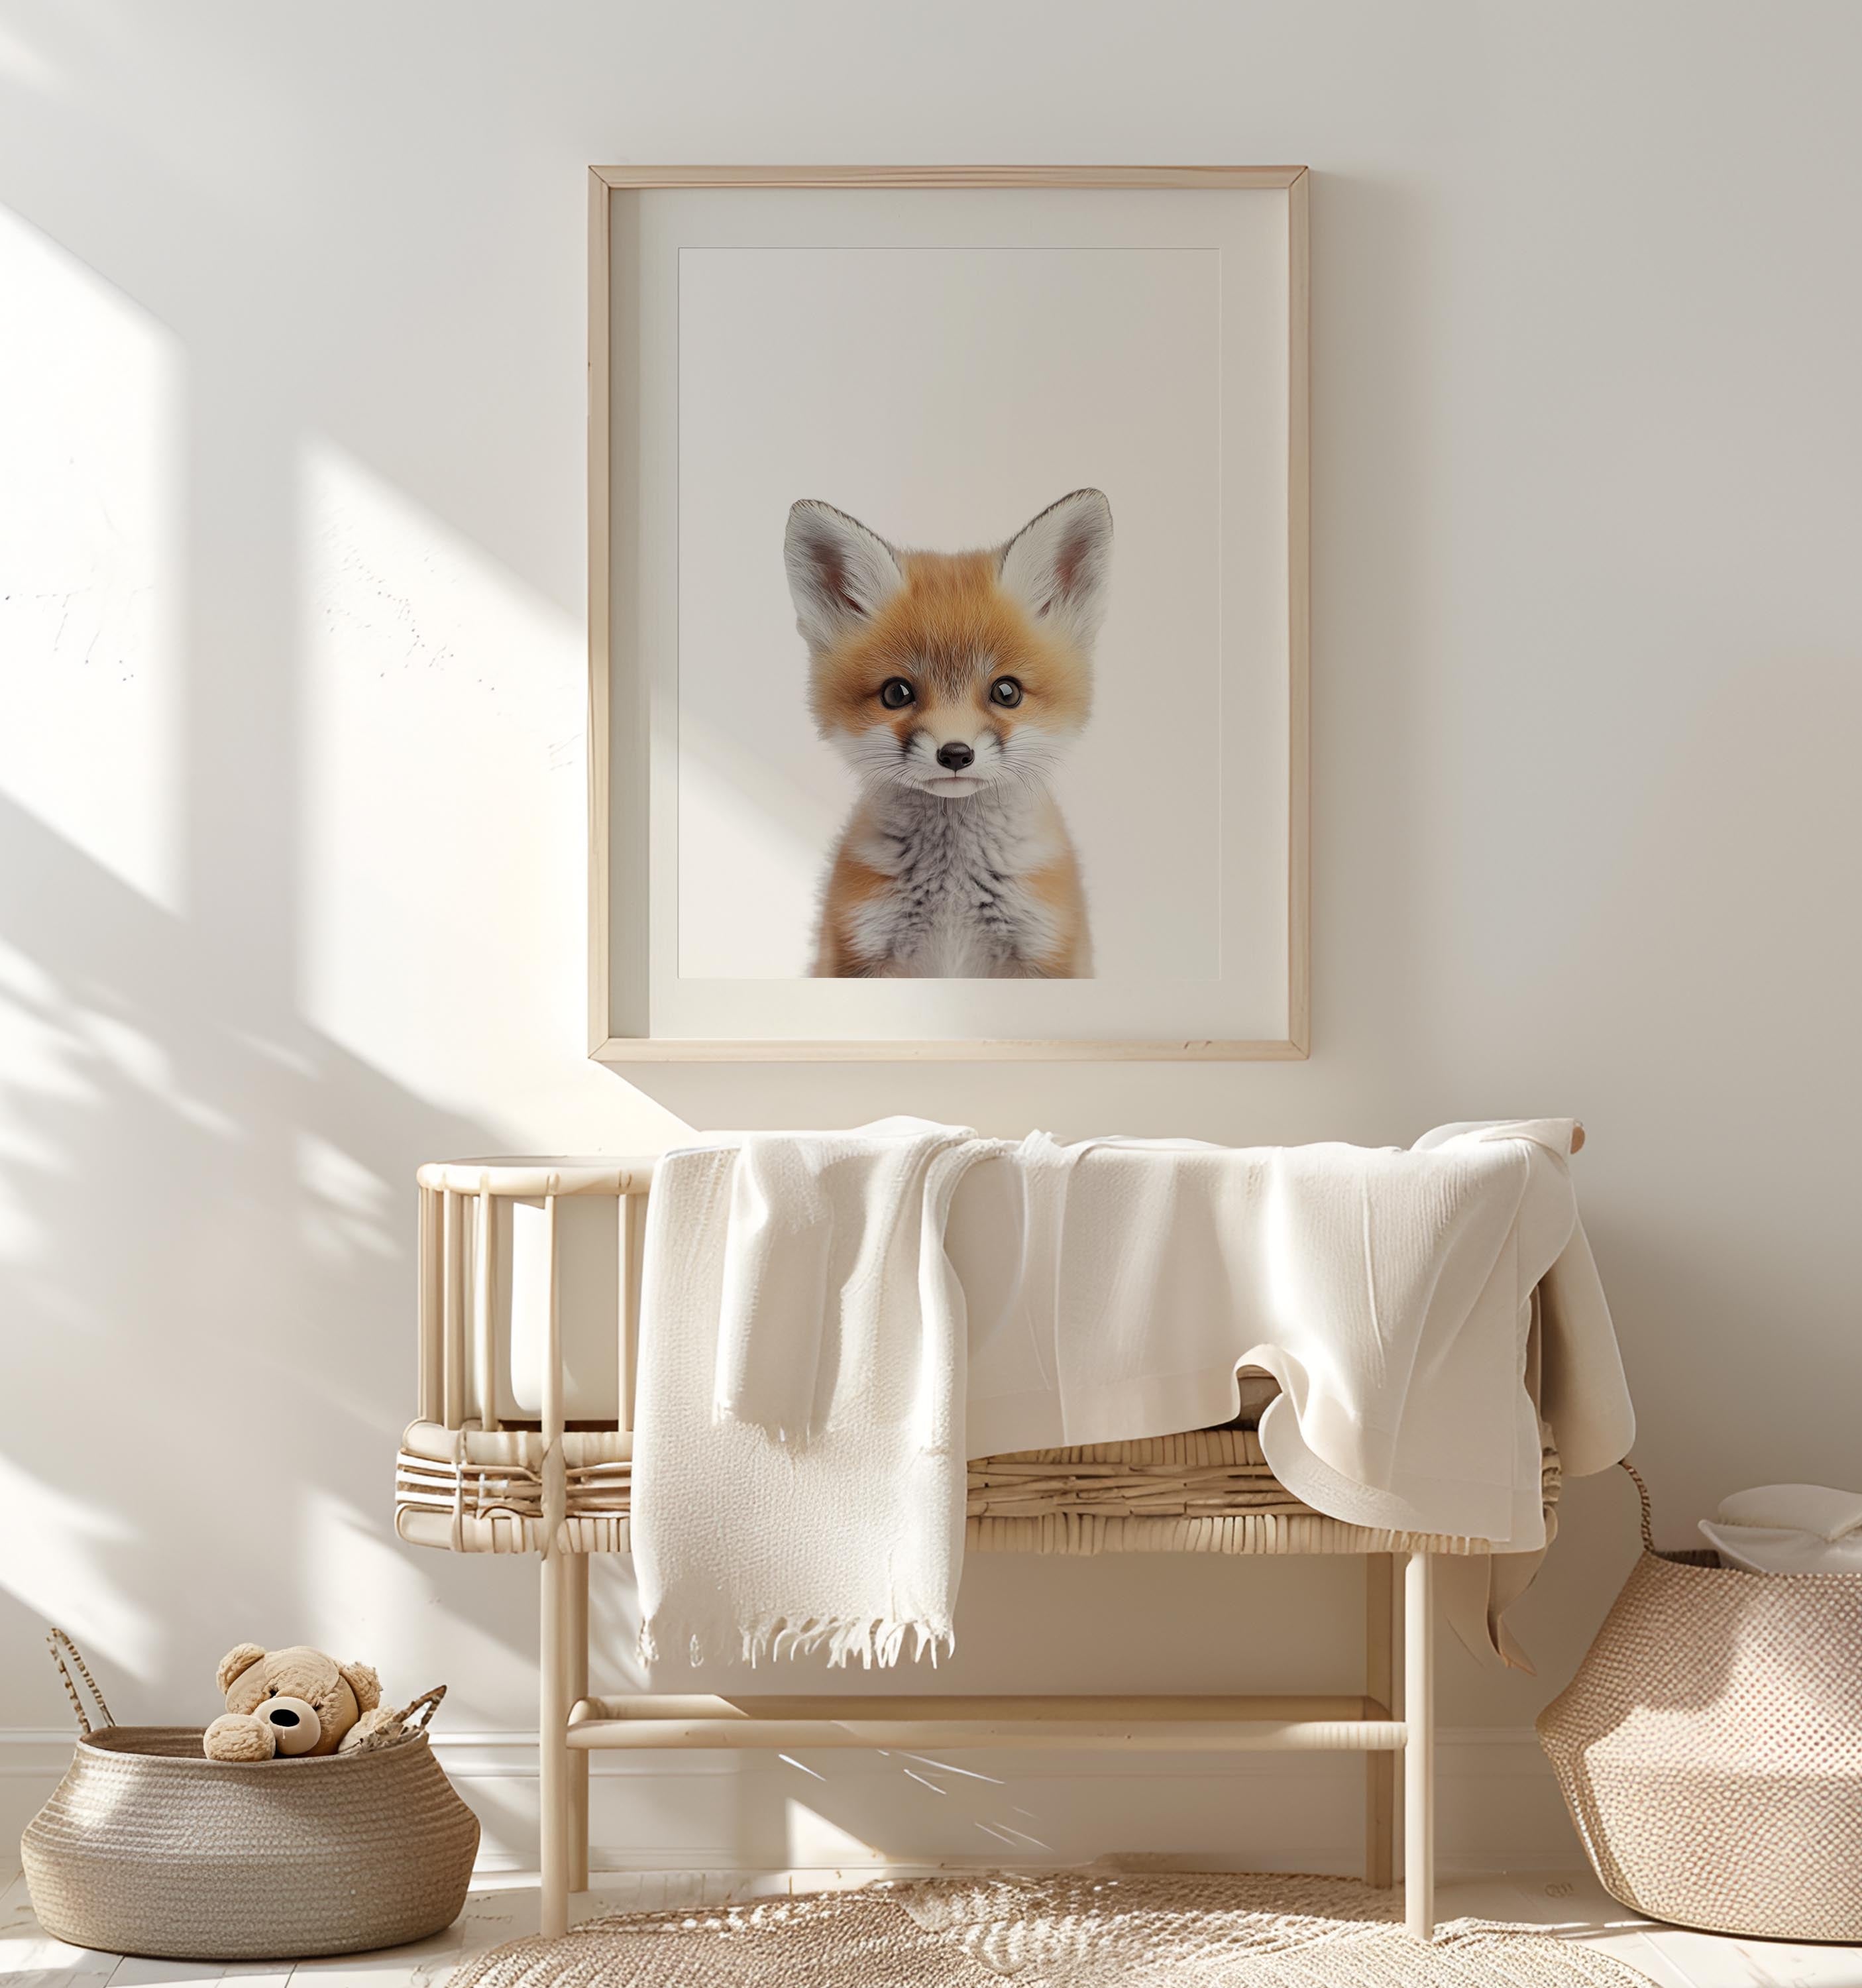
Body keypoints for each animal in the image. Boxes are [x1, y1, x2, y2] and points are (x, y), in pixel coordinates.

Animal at [785, 489, 1111, 979]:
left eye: (1007, 692)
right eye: (897, 693)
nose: (956, 754)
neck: (953, 890)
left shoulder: (1047, 955)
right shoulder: (859, 953)